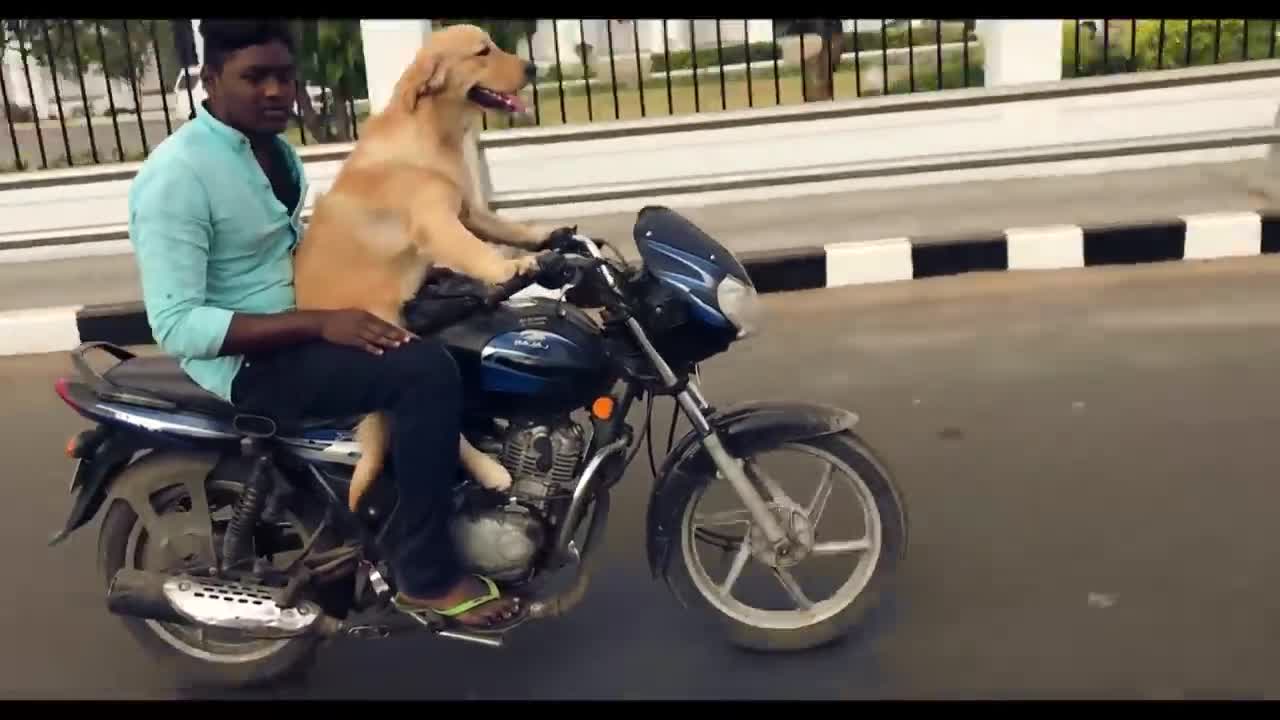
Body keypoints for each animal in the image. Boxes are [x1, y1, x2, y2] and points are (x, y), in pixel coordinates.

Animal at [293, 23, 558, 509]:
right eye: (482, 51)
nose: (532, 68)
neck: (434, 131)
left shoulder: (469, 211)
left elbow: (503, 227)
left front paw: (542, 238)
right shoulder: (439, 223)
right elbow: (477, 250)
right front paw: (511, 269)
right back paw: (490, 471)